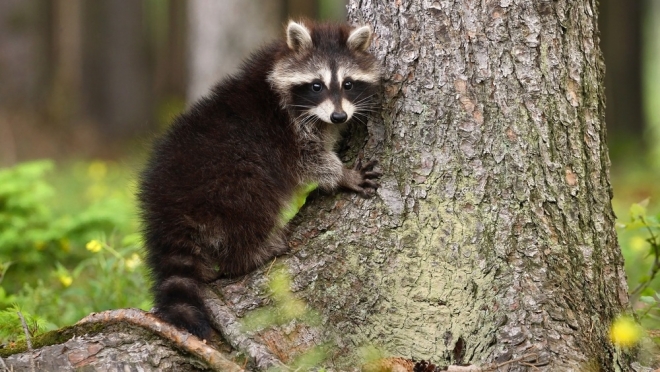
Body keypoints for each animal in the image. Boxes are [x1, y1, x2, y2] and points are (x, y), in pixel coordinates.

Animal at [137, 21, 382, 340]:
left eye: (348, 84)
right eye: (317, 85)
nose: (339, 116)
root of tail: (167, 203)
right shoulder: (289, 132)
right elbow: (309, 161)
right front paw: (342, 175)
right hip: (230, 185)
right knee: (254, 209)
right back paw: (254, 252)